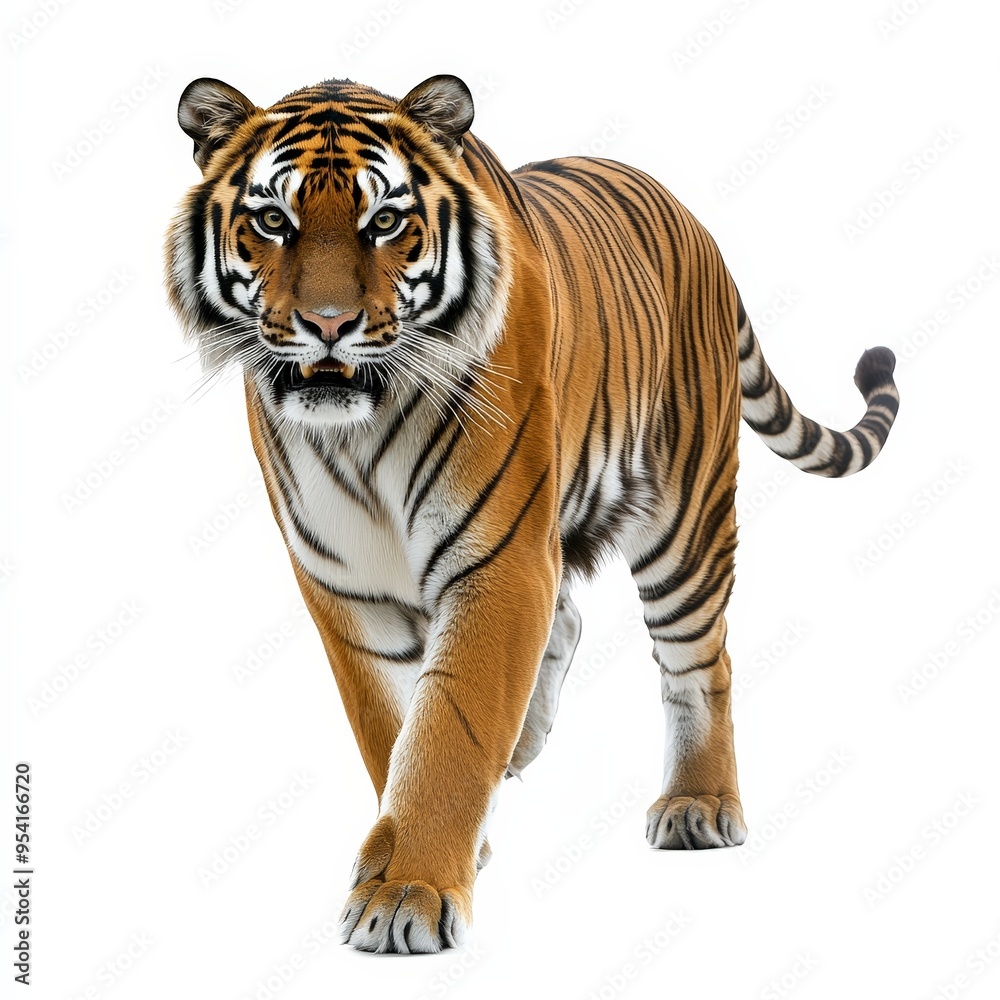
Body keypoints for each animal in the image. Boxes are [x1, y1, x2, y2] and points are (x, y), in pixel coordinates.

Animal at [164, 73, 899, 954]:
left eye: (387, 222)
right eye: (274, 220)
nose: (329, 326)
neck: (361, 430)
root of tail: (693, 220)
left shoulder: (499, 561)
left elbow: (449, 727)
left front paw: (407, 894)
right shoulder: (346, 586)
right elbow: (394, 727)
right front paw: (435, 849)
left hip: (683, 521)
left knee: (701, 659)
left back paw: (699, 804)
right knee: (571, 616)